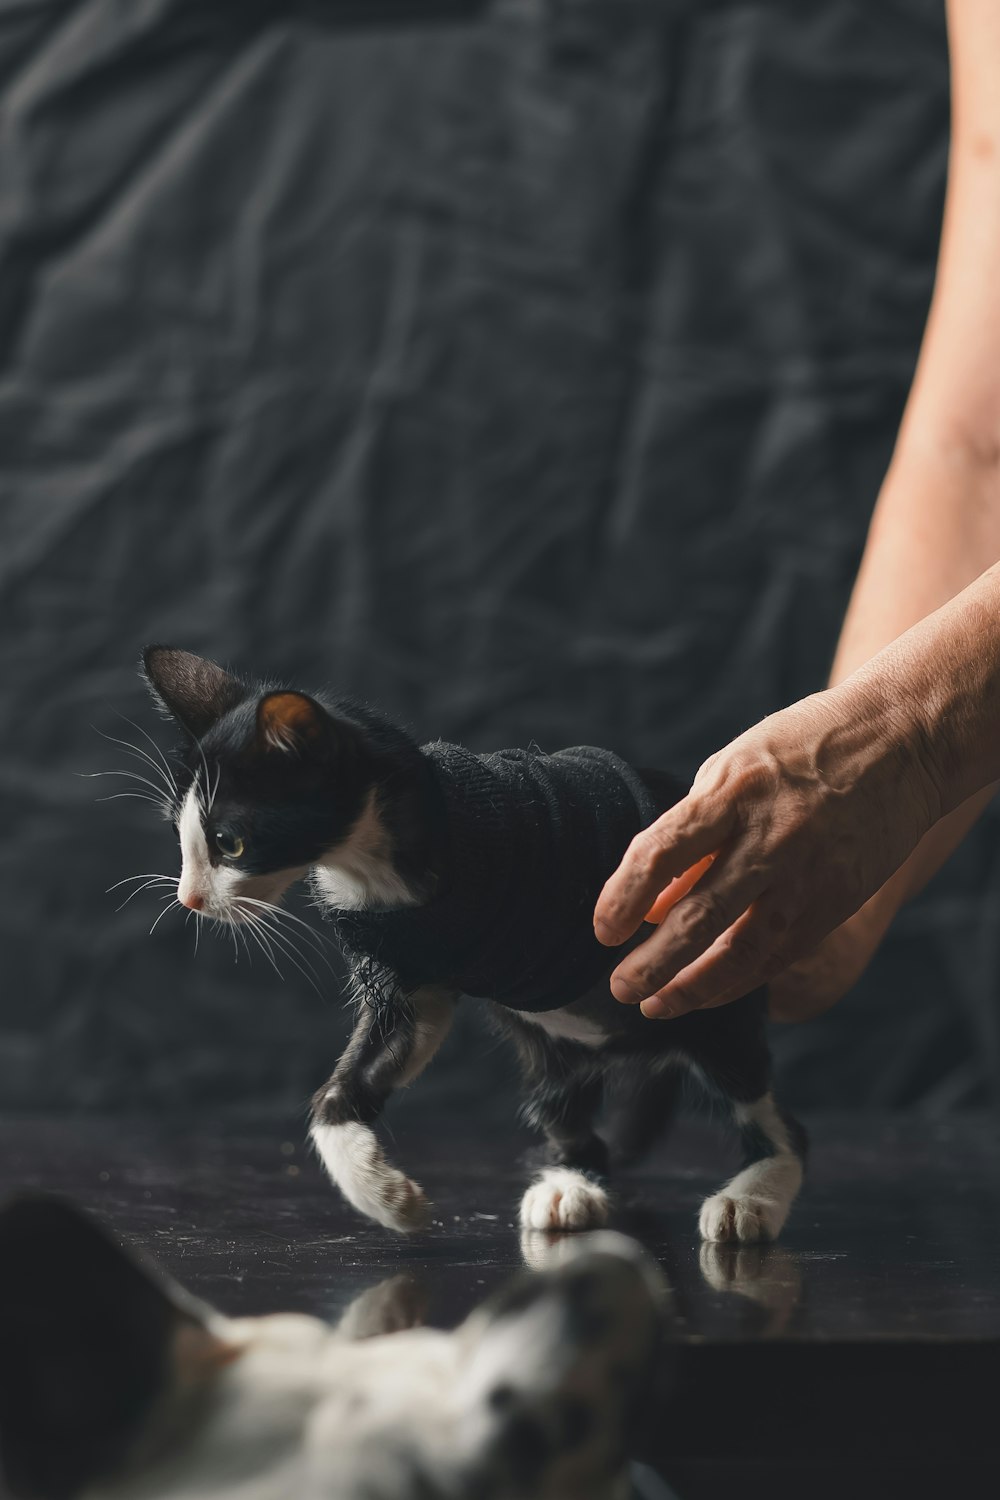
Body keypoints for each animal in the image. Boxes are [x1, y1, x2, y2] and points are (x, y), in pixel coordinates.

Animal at [137, 645, 809, 1242]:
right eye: (178, 835)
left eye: (230, 843)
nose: (189, 899)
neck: (374, 864)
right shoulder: (413, 976)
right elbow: (356, 1074)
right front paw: (384, 1195)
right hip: (556, 1054)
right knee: (568, 1110)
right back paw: (572, 1182)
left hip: (717, 1013)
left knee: (769, 1108)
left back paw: (752, 1197)